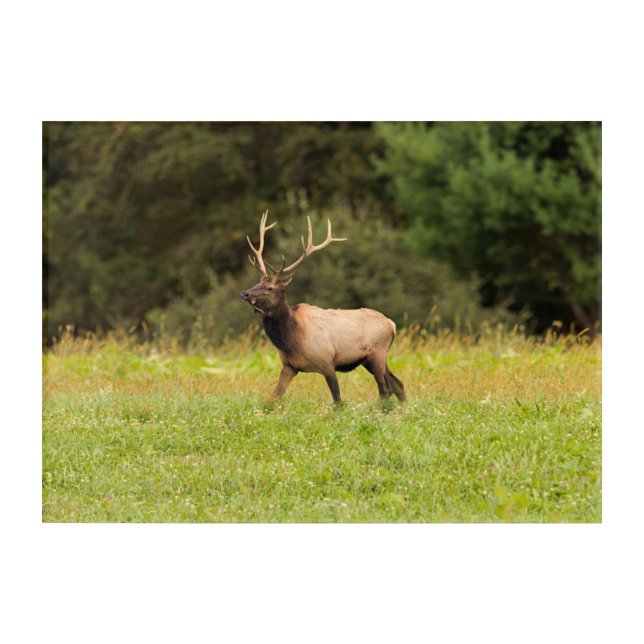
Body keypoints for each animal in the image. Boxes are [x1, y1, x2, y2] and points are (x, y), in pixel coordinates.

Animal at [240, 211, 406, 406]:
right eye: (257, 282)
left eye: (270, 288)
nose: (245, 293)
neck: (291, 340)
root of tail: (392, 324)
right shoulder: (289, 366)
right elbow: (272, 398)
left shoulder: (327, 362)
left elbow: (337, 401)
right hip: (371, 359)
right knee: (398, 385)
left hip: (377, 354)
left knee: (386, 389)